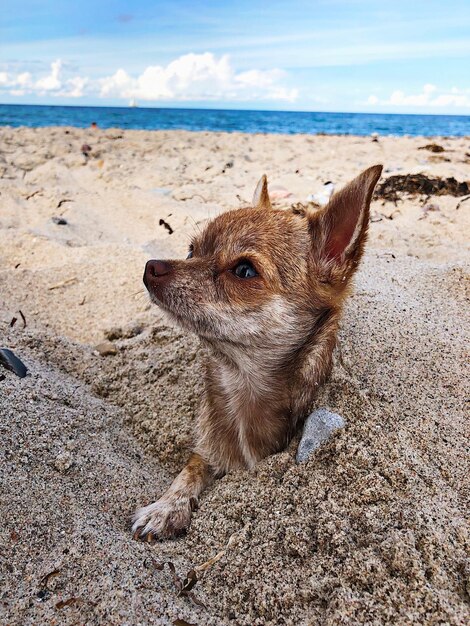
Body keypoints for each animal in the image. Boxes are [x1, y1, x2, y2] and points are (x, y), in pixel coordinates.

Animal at [132, 163, 382, 540]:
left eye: (244, 270)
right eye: (191, 251)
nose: (151, 266)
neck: (240, 384)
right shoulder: (204, 450)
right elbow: (190, 469)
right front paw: (166, 506)